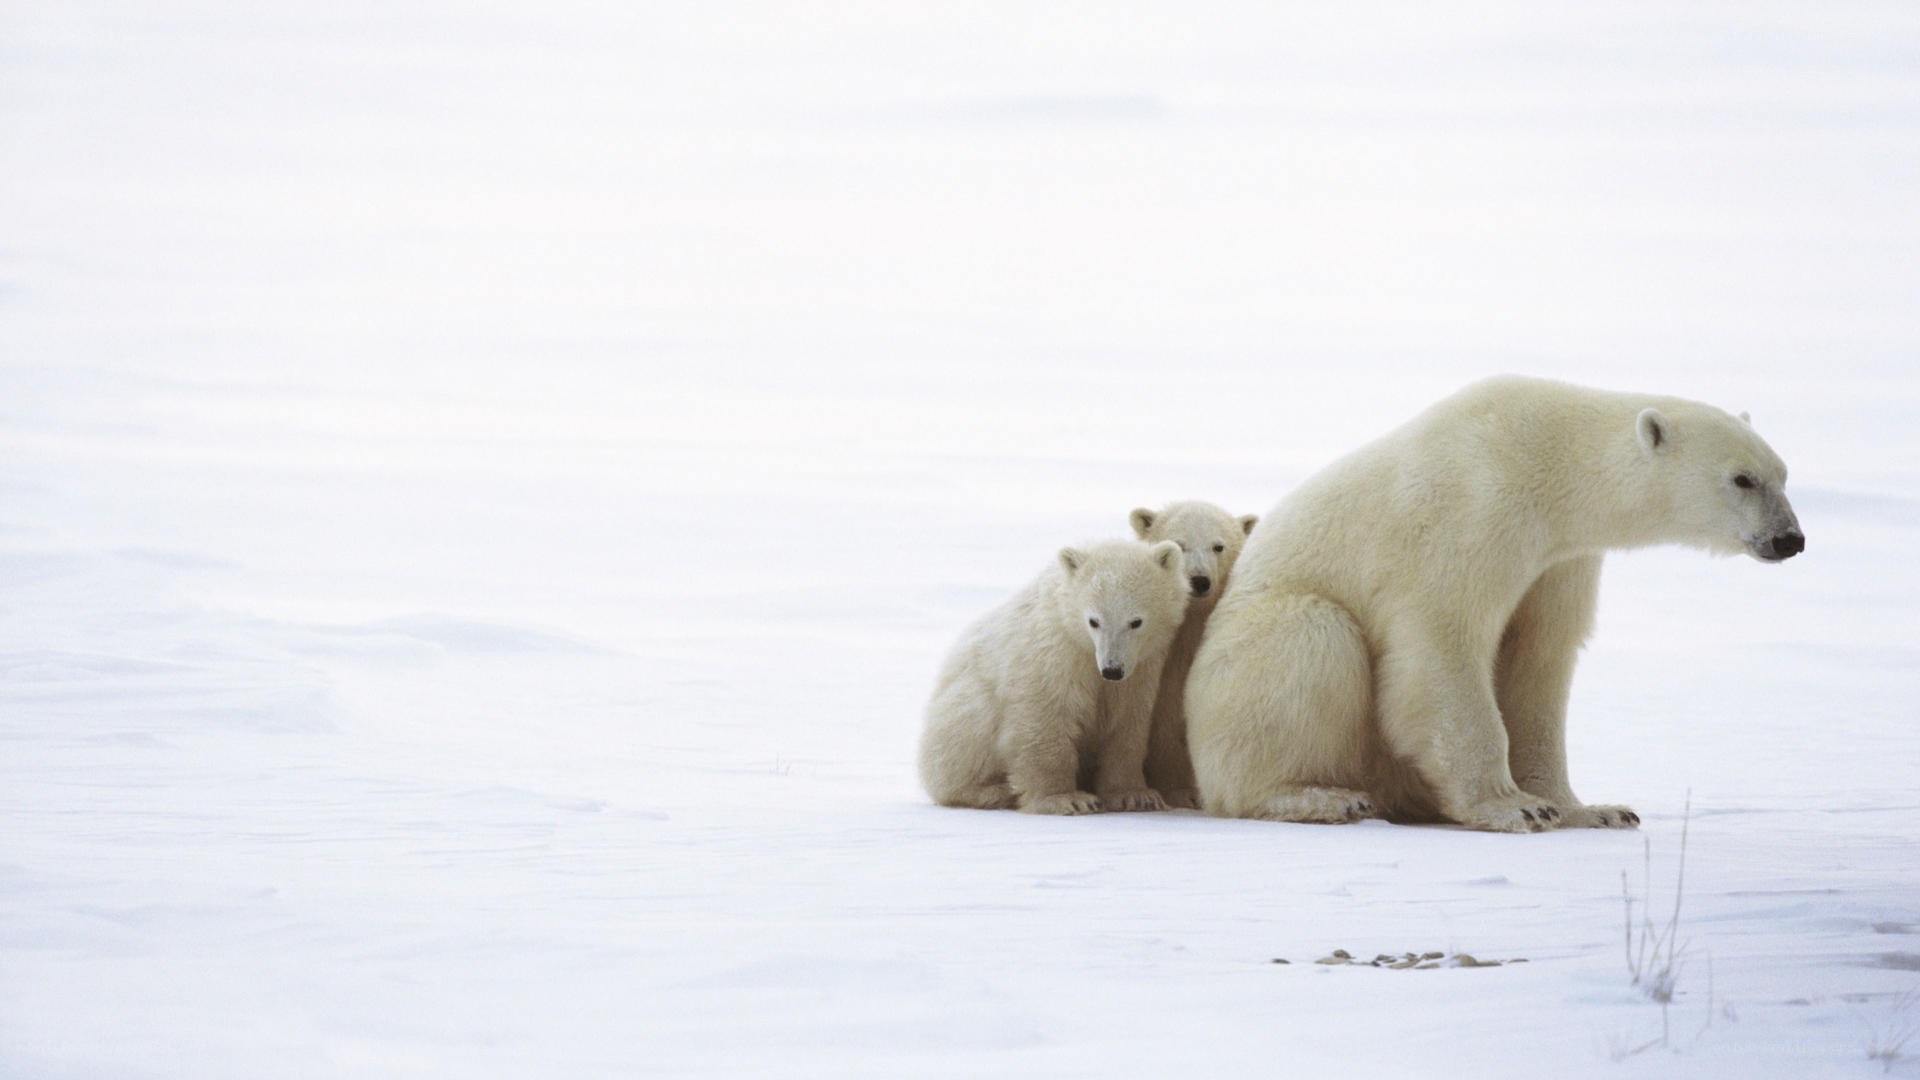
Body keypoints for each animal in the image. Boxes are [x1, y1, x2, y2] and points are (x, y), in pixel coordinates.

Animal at [919, 538, 1191, 814]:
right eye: (1094, 621)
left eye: (1136, 621)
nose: (1112, 669)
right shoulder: (1054, 652)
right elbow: (1045, 715)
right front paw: (1067, 798)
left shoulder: (1142, 669)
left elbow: (1127, 725)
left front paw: (1135, 796)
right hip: (962, 707)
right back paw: (993, 791)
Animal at [1185, 375, 1804, 833]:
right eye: (1742, 479)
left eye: (1783, 474)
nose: (1790, 539)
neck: (1547, 458)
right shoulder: (1470, 514)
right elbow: (1443, 647)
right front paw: (1514, 806)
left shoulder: (1559, 560)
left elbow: (1539, 660)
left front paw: (1592, 808)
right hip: (1249, 653)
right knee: (1311, 639)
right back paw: (1321, 797)